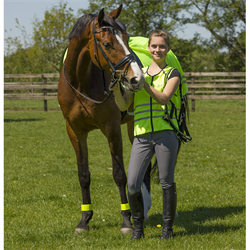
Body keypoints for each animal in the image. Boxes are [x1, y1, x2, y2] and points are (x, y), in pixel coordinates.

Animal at [57, 4, 146, 234]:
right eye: (107, 44)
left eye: (127, 38)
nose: (137, 79)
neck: (80, 83)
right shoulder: (75, 132)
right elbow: (83, 175)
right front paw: (84, 220)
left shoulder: (112, 129)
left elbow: (119, 174)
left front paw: (126, 221)